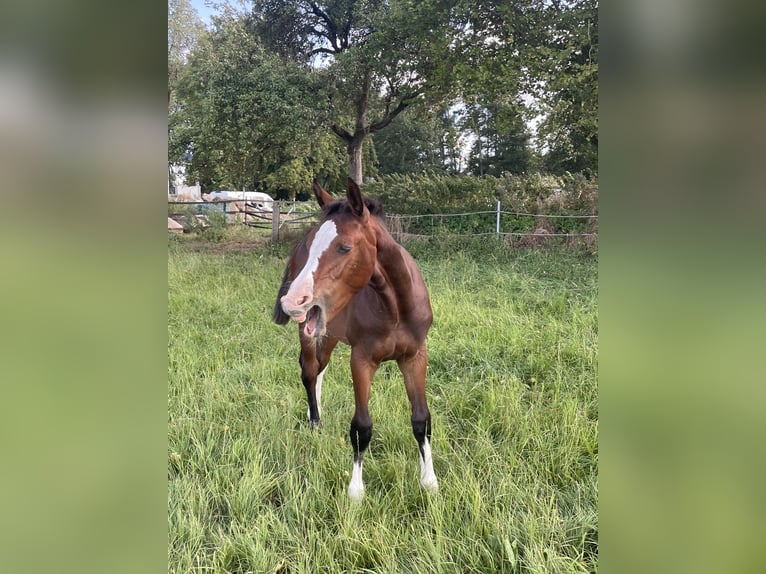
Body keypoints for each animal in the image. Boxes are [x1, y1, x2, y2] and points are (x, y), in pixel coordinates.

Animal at [273, 177, 438, 501]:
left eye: (344, 247)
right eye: (312, 245)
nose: (292, 301)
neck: (395, 308)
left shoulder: (415, 357)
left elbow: (421, 419)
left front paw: (429, 482)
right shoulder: (362, 360)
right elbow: (362, 427)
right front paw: (356, 493)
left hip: (327, 331)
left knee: (320, 369)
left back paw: (315, 412)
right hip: (309, 330)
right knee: (309, 372)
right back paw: (315, 423)